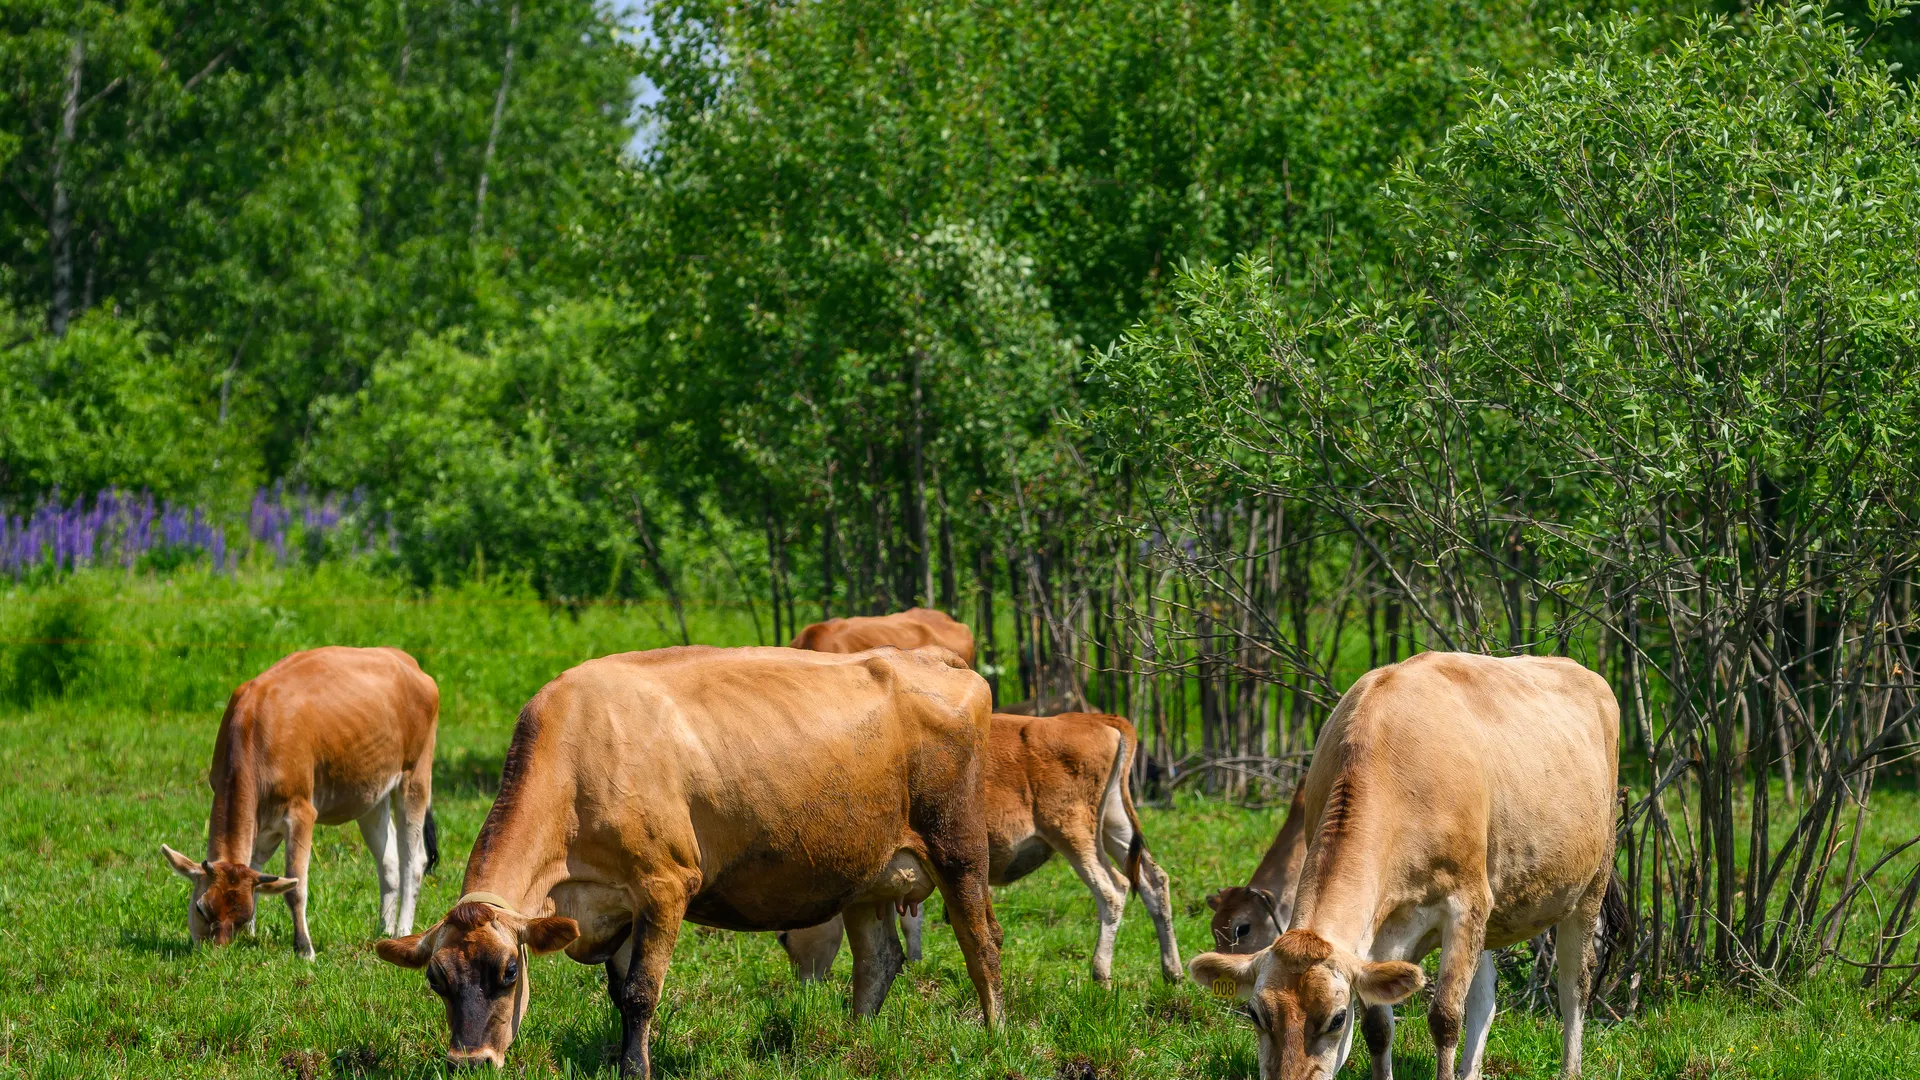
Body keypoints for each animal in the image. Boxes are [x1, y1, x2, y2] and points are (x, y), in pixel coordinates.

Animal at [160, 646, 440, 959]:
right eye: (200, 908)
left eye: (240, 917)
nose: (214, 954)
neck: (255, 728)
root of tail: (407, 660)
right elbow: (257, 867)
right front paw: (254, 935)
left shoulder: (301, 811)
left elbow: (295, 887)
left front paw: (305, 948)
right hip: (371, 794)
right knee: (389, 860)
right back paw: (384, 930)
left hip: (415, 777)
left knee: (413, 861)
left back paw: (403, 930)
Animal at [373, 645, 1003, 1079]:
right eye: (436, 978)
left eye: (508, 972)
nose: (469, 1061)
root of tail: (930, 657)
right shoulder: (617, 906)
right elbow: (619, 992)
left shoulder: (665, 883)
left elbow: (640, 993)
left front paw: (635, 1071)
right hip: (867, 873)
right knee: (878, 960)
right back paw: (854, 1042)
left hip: (958, 848)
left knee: (982, 941)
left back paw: (995, 1035)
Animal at [780, 711, 1182, 986]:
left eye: (784, 937)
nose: (806, 986)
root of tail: (1096, 719)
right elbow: (908, 914)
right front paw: (914, 963)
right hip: (1114, 823)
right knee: (1154, 881)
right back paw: (1172, 971)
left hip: (1073, 833)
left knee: (1113, 889)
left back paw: (1100, 973)